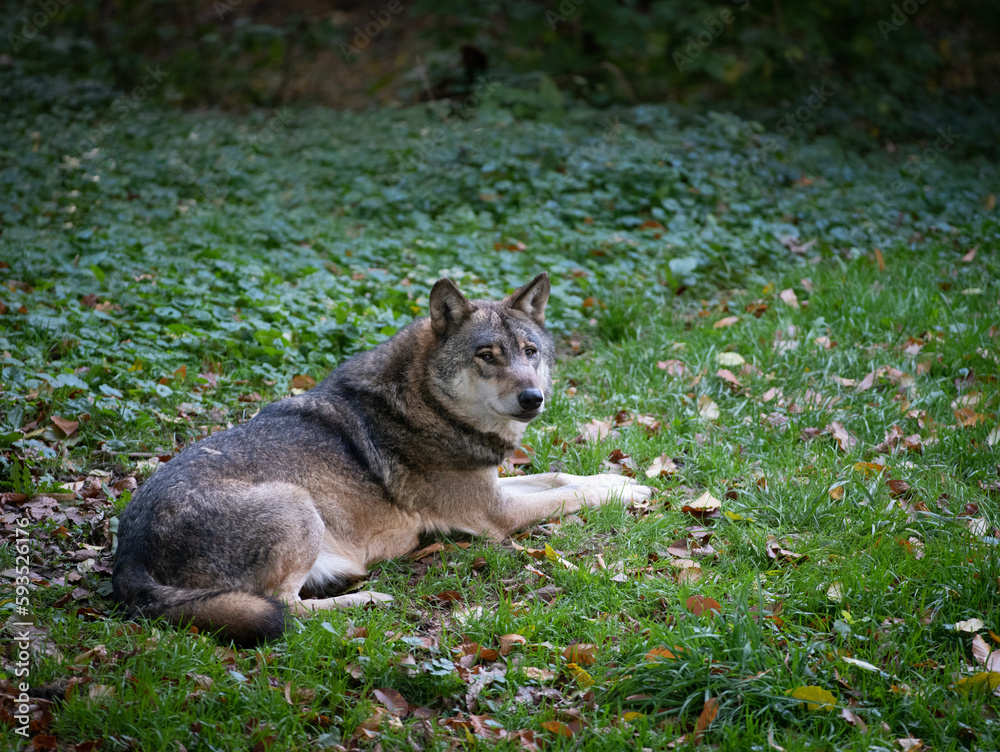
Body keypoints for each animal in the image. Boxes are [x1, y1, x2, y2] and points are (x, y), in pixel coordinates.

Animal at [111, 276, 656, 648]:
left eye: (530, 351)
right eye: (487, 355)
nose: (533, 398)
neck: (425, 403)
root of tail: (126, 559)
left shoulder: (494, 485)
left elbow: (564, 476)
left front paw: (622, 480)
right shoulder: (494, 515)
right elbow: (570, 494)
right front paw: (625, 492)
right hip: (298, 506)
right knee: (287, 609)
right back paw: (370, 599)